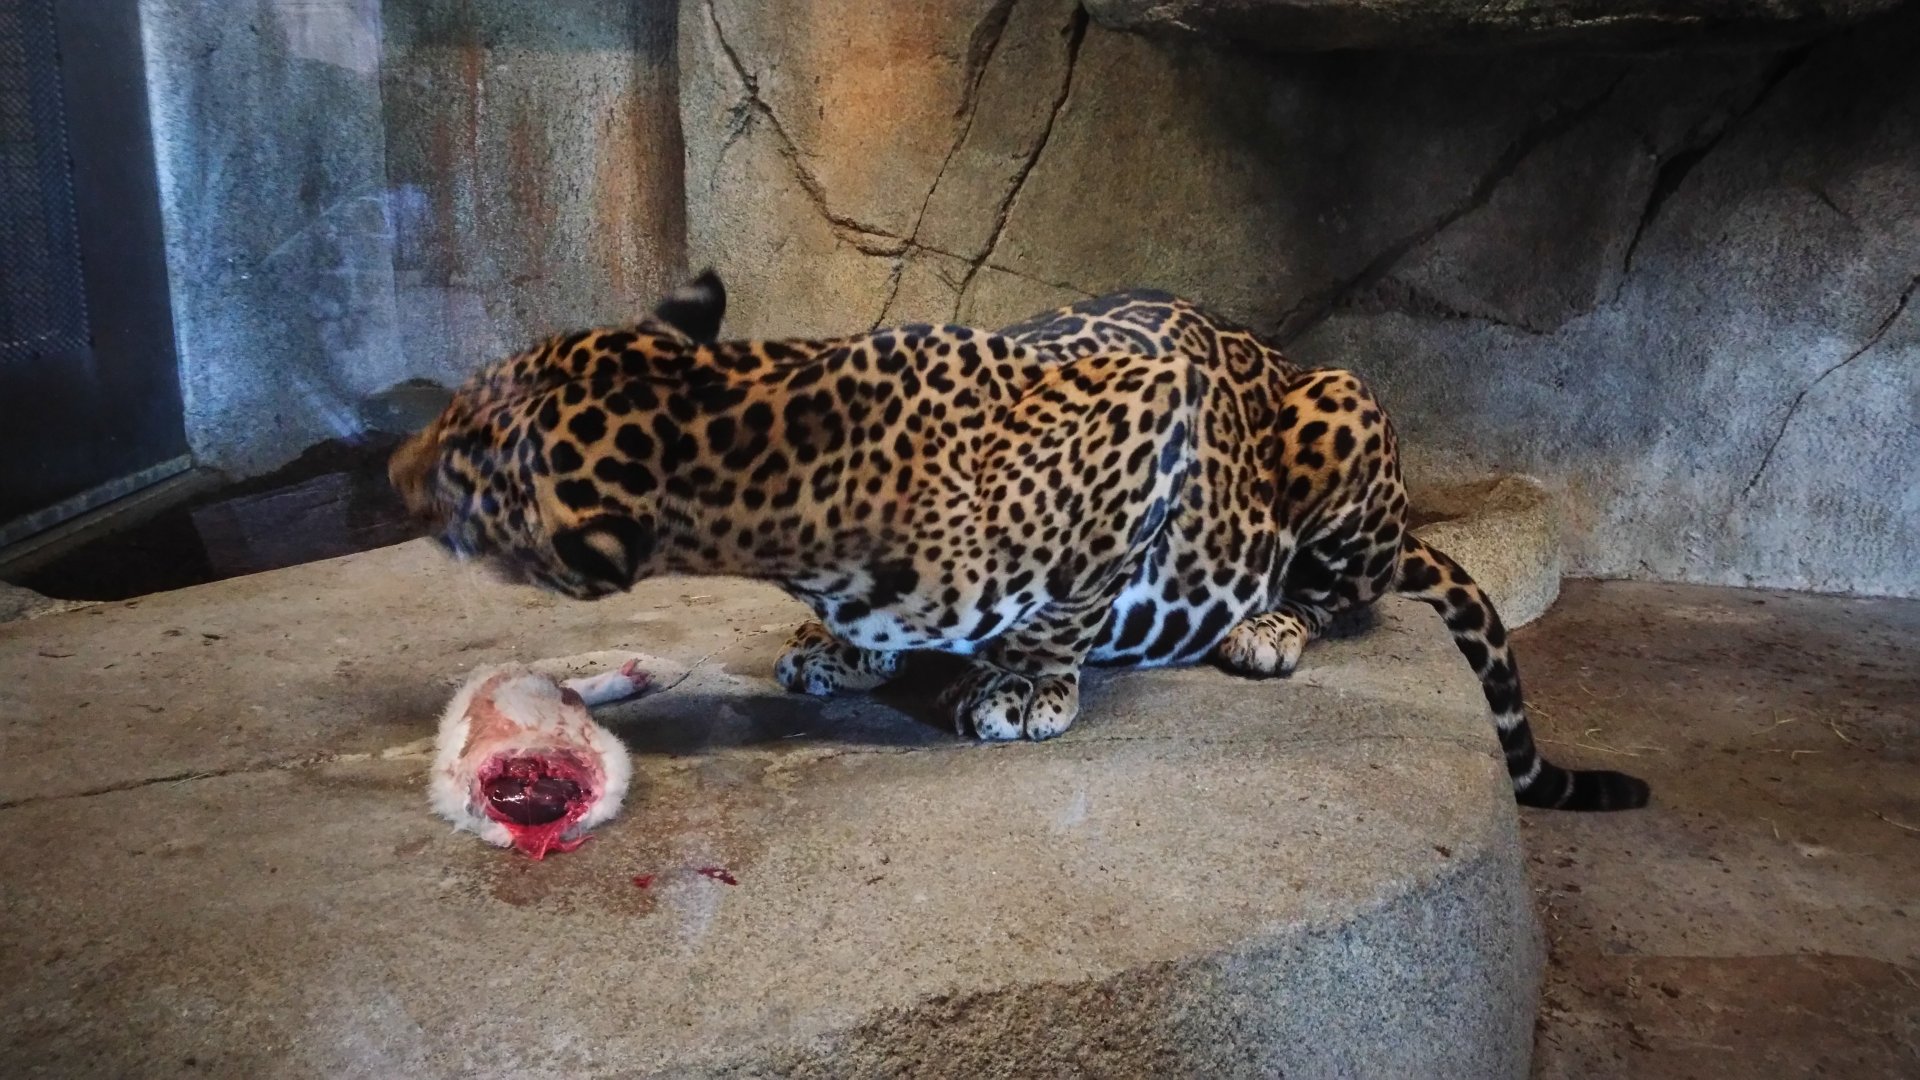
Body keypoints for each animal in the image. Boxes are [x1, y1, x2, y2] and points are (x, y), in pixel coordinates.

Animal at [389, 270, 1650, 812]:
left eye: (465, 455)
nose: (395, 475)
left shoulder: (1148, 416)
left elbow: (1066, 605)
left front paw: (1026, 685)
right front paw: (841, 650)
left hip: (1340, 414)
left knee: (1352, 593)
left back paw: (1269, 625)